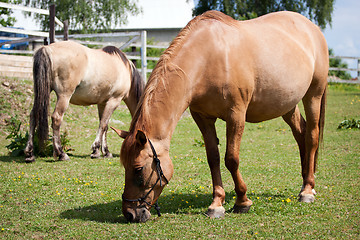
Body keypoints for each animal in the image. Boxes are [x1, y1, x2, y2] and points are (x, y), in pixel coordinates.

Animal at [112, 10, 330, 222]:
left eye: (138, 169)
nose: (130, 214)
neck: (208, 57)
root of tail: (312, 29)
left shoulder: (236, 115)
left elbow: (231, 159)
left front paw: (242, 201)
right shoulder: (202, 117)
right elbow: (213, 158)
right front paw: (217, 203)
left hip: (313, 95)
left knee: (311, 136)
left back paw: (307, 191)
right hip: (287, 105)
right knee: (301, 135)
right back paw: (305, 181)